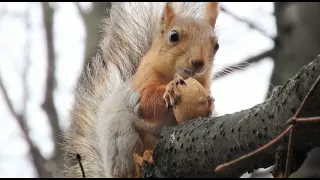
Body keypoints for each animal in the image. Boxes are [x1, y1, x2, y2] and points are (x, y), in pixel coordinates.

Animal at [62, 1, 220, 179]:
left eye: (216, 46)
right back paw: (142, 159)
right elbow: (145, 103)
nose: (198, 62)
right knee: (128, 163)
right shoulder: (142, 84)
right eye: (173, 36)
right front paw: (169, 90)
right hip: (121, 137)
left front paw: (209, 102)